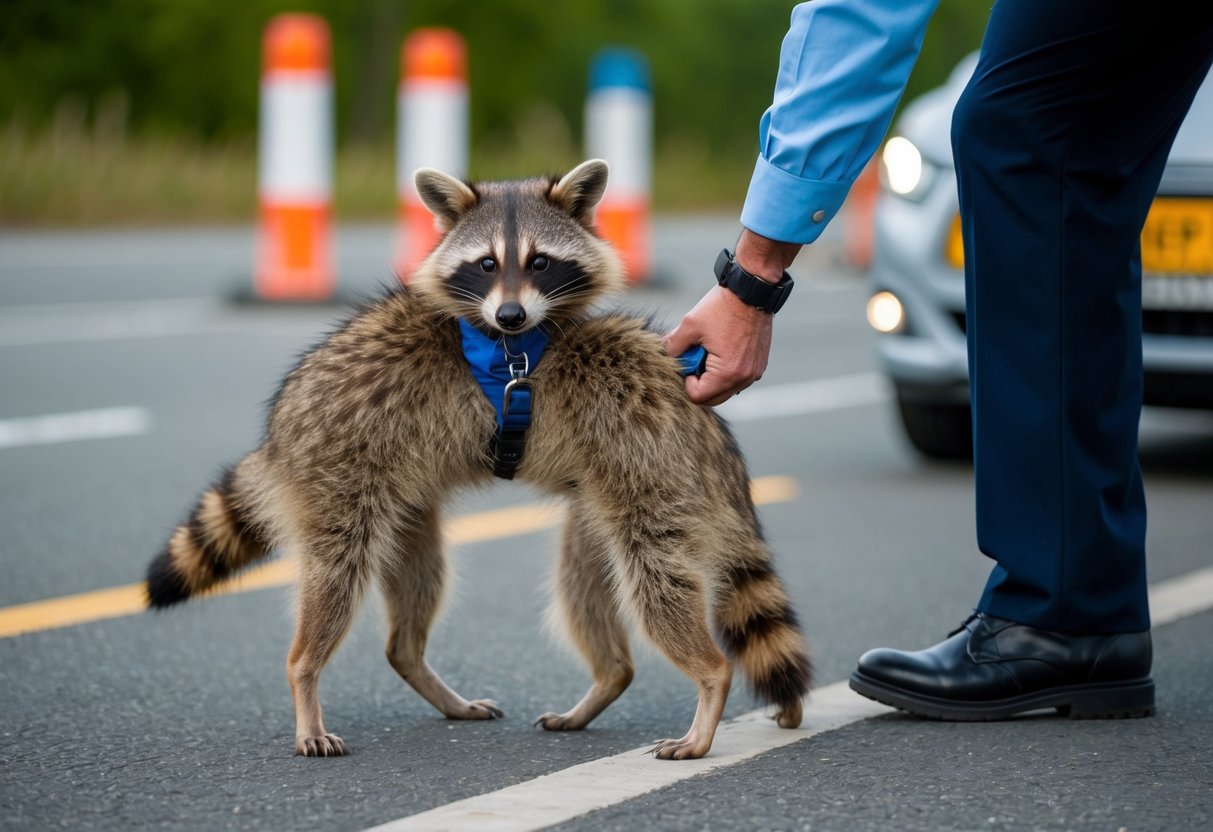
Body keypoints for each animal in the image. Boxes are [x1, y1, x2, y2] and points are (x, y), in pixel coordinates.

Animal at [146, 160, 811, 760]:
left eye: (540, 262)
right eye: (486, 264)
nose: (509, 315)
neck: (513, 345)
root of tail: (280, 432)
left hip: (636, 485)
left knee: (627, 582)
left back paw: (680, 675)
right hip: (351, 474)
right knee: (353, 574)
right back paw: (310, 669)